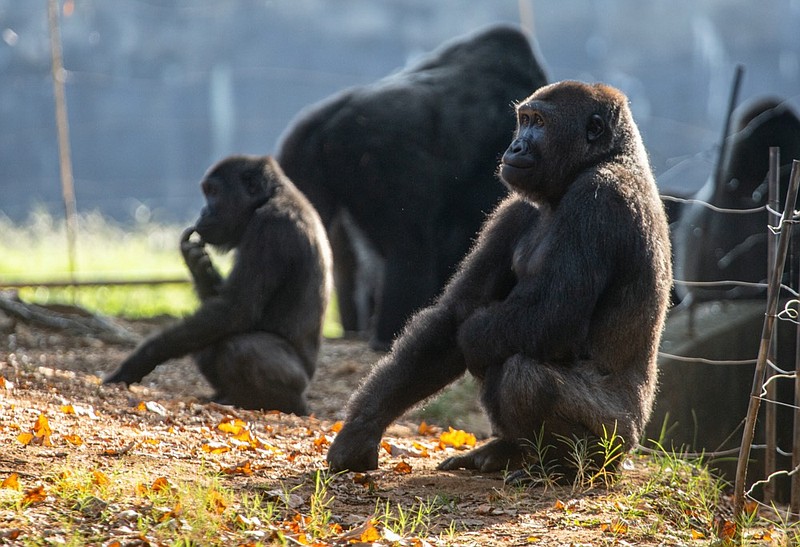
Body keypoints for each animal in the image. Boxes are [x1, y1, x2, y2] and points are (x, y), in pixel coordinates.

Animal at [104, 155, 332, 416]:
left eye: (214, 192)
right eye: (207, 193)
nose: (204, 211)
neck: (271, 196)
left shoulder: (270, 227)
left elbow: (235, 310)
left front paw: (139, 360)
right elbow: (218, 310)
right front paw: (198, 266)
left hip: (299, 386)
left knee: (242, 346)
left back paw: (275, 403)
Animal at [328, 81, 672, 480]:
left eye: (540, 123)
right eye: (524, 120)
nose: (516, 147)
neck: (607, 158)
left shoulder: (598, 199)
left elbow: (547, 318)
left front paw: (474, 335)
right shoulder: (513, 209)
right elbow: (451, 317)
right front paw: (360, 431)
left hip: (618, 439)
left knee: (522, 377)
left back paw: (568, 466)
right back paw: (507, 451)